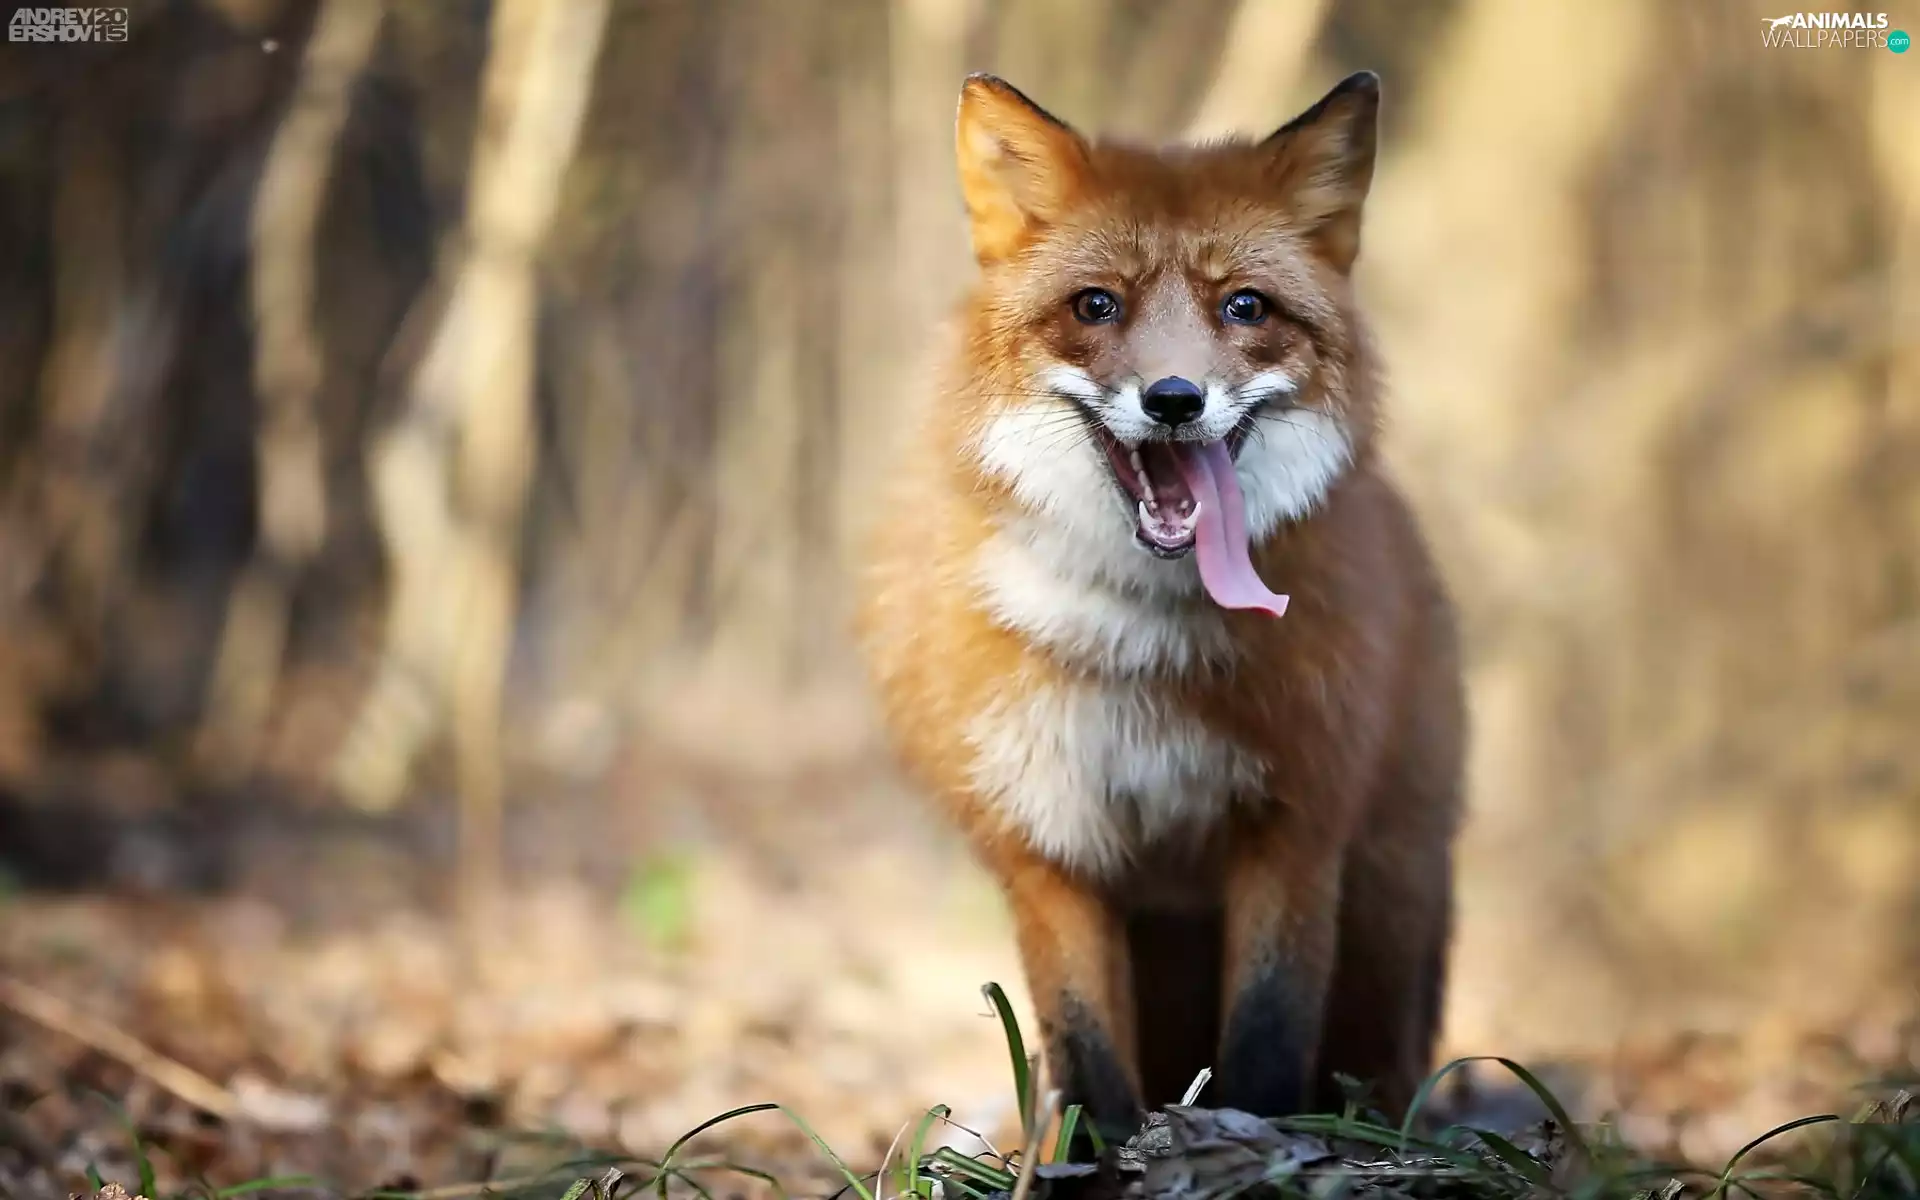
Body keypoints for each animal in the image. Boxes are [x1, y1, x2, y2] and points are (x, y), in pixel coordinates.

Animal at [855, 70, 1465, 1143]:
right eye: (1097, 304)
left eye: (1244, 306)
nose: (1175, 398)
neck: (1136, 646)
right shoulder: (1045, 843)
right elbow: (1087, 1060)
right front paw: (1093, 1162)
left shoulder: (1295, 824)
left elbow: (1266, 1043)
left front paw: (1253, 1147)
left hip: (1386, 924)